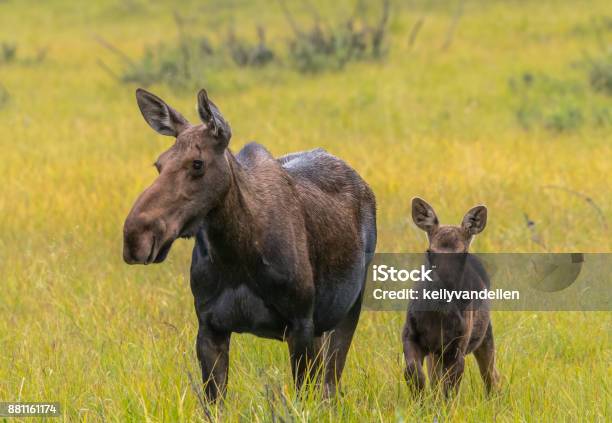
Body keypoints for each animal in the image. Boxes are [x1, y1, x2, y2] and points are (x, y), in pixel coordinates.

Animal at [122, 88, 376, 400]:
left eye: (197, 163)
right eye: (158, 164)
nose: (136, 236)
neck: (236, 255)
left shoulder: (301, 323)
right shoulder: (209, 326)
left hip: (348, 308)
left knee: (330, 384)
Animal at [404, 199, 500, 398]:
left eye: (462, 253)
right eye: (429, 251)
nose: (443, 284)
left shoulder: (458, 346)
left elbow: (449, 390)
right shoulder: (410, 333)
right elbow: (414, 373)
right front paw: (420, 402)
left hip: (484, 333)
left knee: (492, 375)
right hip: (437, 352)